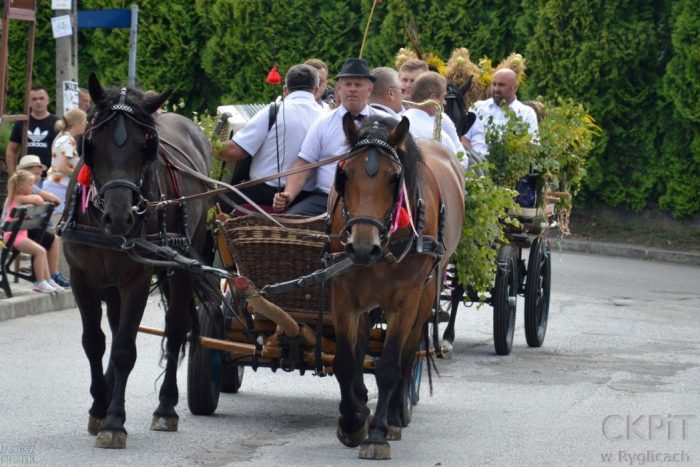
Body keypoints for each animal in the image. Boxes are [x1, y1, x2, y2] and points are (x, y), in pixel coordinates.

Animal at [61, 74, 217, 450]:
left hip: (184, 261)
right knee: (116, 326)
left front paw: (115, 422)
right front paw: (99, 407)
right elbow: (95, 342)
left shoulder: (137, 278)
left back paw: (166, 407)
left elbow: (124, 349)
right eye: (92, 143)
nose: (120, 218)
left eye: (144, 146)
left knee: (175, 329)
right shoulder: (82, 276)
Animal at [330, 114, 464, 460]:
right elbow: (346, 362)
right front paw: (352, 421)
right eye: (344, 174)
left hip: (426, 293)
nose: (363, 247)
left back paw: (391, 417)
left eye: (393, 179)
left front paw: (376, 434)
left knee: (407, 352)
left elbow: (390, 365)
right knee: (362, 348)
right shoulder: (344, 297)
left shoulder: (406, 301)